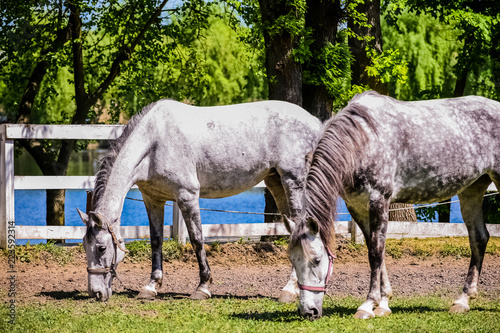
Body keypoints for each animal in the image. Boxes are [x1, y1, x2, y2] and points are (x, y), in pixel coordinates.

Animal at [76, 98, 322, 300]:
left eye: (101, 248)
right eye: (85, 245)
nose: (96, 293)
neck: (154, 141)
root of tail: (315, 122)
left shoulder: (187, 196)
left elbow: (197, 239)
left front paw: (202, 287)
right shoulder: (152, 199)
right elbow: (156, 240)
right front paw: (151, 286)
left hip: (293, 182)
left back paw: (289, 290)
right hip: (276, 182)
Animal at [286, 90, 500, 320]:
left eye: (317, 260)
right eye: (293, 261)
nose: (308, 311)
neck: (362, 141)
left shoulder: (379, 201)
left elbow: (375, 253)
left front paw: (368, 304)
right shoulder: (357, 207)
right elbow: (376, 251)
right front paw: (384, 303)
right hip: (472, 191)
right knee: (479, 238)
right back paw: (463, 300)